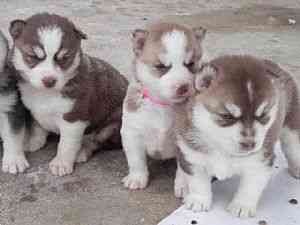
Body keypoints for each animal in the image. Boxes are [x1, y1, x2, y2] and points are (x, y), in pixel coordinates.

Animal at [9, 13, 128, 177]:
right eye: (33, 56)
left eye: (65, 58)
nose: (49, 81)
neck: (46, 93)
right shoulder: (34, 109)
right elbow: (38, 128)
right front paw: (34, 142)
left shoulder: (74, 119)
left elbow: (66, 144)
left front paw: (61, 163)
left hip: (112, 125)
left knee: (96, 141)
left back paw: (82, 151)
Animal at [175, 55, 300, 218]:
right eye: (227, 116)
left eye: (263, 115)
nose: (250, 144)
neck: (222, 149)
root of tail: (276, 65)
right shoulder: (192, 156)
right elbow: (198, 182)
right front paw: (199, 200)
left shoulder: (260, 162)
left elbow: (250, 187)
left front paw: (242, 206)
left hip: (291, 129)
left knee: (294, 149)